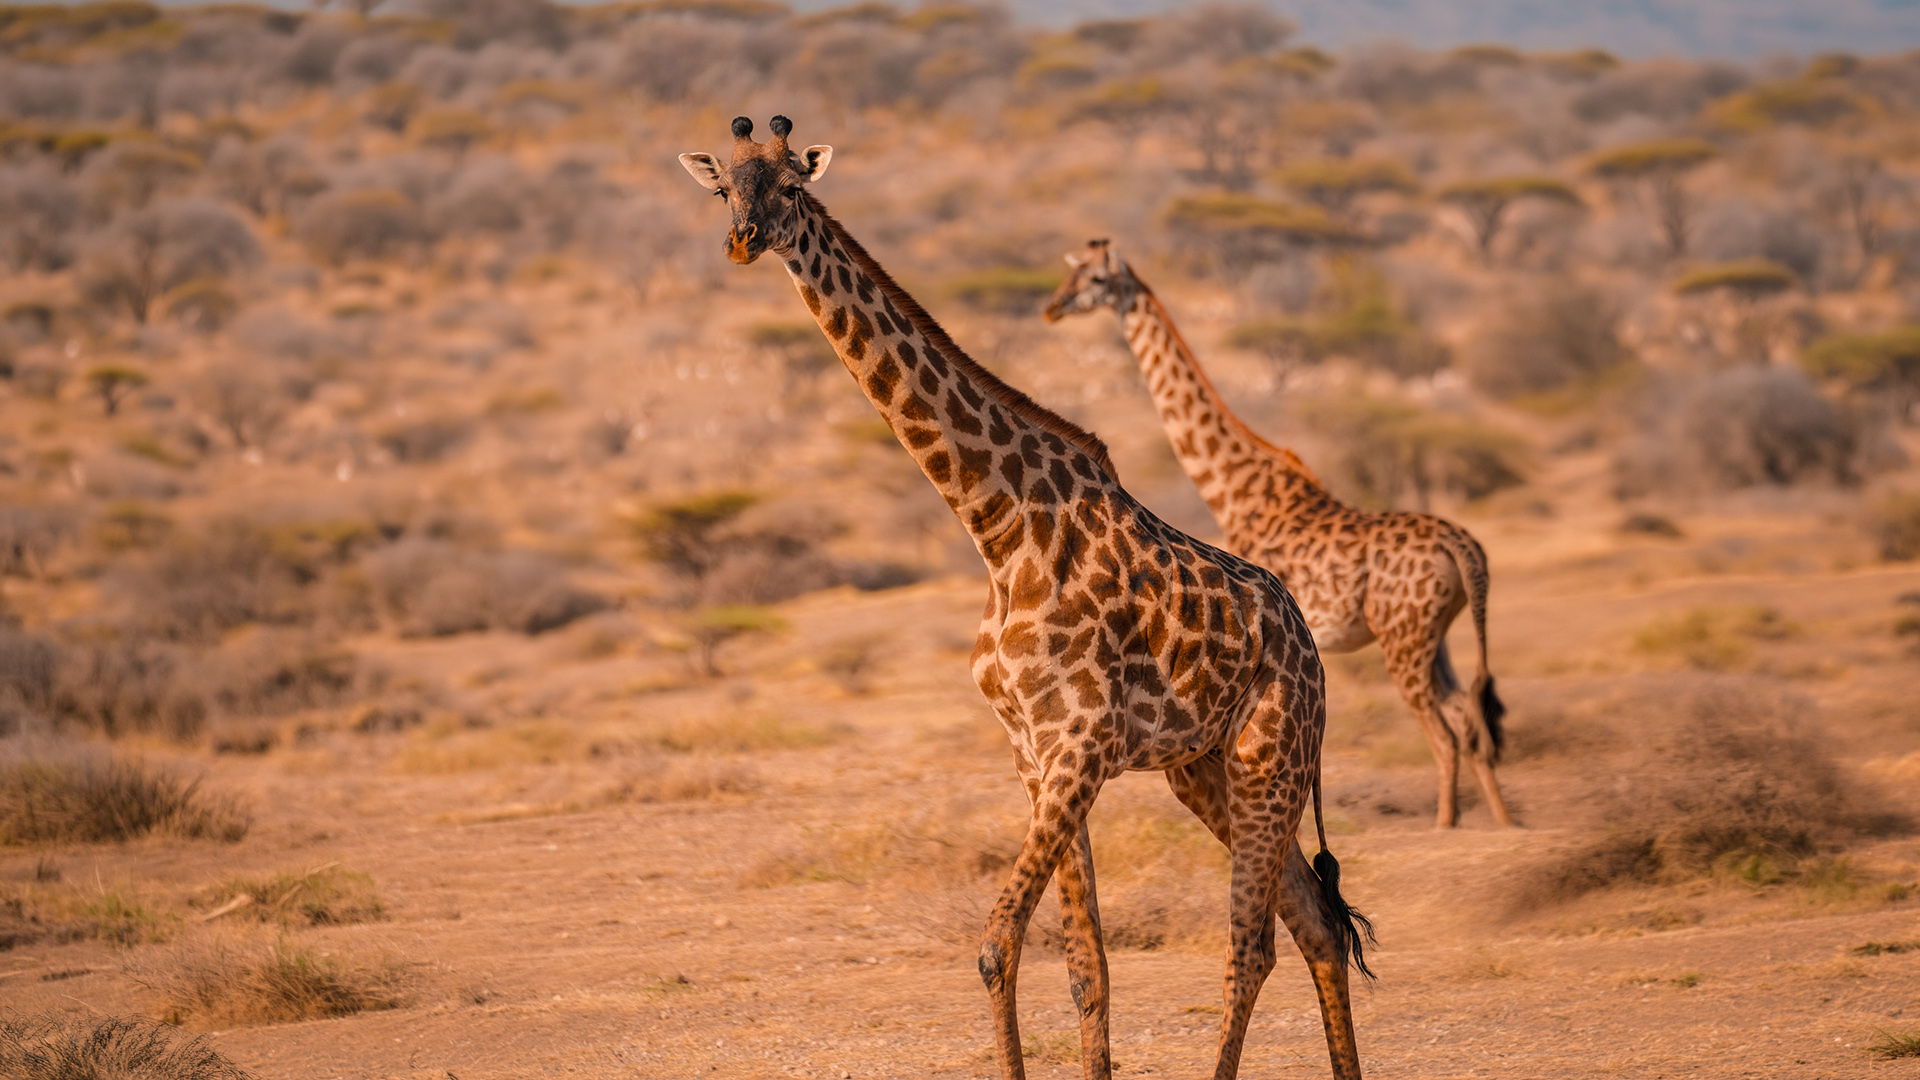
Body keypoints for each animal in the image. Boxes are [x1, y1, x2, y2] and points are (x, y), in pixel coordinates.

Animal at [680, 117, 1372, 1080]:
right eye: (723, 189)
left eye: (789, 188)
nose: (743, 241)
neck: (998, 528)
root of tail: (1307, 641)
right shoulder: (1035, 755)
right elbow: (1084, 968)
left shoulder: (1080, 745)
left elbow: (997, 943)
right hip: (1202, 768)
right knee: (1314, 925)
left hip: (1270, 755)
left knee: (1254, 943)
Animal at [1044, 239, 1515, 830]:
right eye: (1072, 272)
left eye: (1097, 279)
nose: (1053, 306)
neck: (1233, 488)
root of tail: (1464, 546)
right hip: (1434, 638)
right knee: (1471, 723)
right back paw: (1506, 825)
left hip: (1403, 643)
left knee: (1447, 736)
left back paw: (1445, 828)